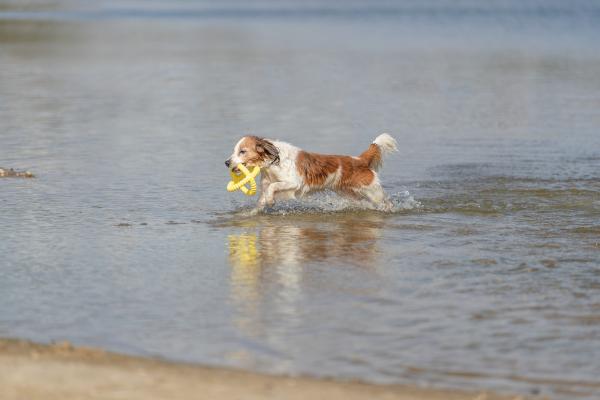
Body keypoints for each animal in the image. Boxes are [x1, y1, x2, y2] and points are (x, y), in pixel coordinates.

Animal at [226, 134, 398, 212]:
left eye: (242, 151)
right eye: (234, 151)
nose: (226, 162)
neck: (272, 164)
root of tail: (360, 160)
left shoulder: (293, 183)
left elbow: (273, 187)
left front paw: (270, 200)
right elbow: (261, 200)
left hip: (373, 192)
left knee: (386, 202)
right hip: (350, 193)